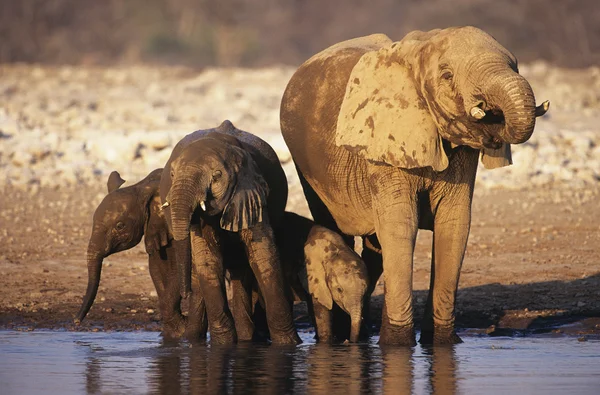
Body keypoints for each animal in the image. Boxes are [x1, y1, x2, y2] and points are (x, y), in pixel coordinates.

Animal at [74, 169, 209, 340]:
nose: (76, 321)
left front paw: (186, 332)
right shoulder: (158, 227)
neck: (142, 186)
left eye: (120, 226)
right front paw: (174, 334)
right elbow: (160, 270)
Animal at [159, 120, 300, 346]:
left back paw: (246, 338)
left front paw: (289, 344)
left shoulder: (251, 193)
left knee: (239, 267)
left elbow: (263, 255)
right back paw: (194, 340)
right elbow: (208, 258)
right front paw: (223, 344)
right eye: (172, 175)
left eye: (216, 176)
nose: (184, 294)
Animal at [278, 26, 552, 344]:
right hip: (310, 171)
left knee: (375, 251)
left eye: (516, 65)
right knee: (339, 229)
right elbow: (401, 224)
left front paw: (443, 343)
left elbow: (454, 224)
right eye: (447, 75)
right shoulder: (383, 140)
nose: (488, 111)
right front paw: (397, 345)